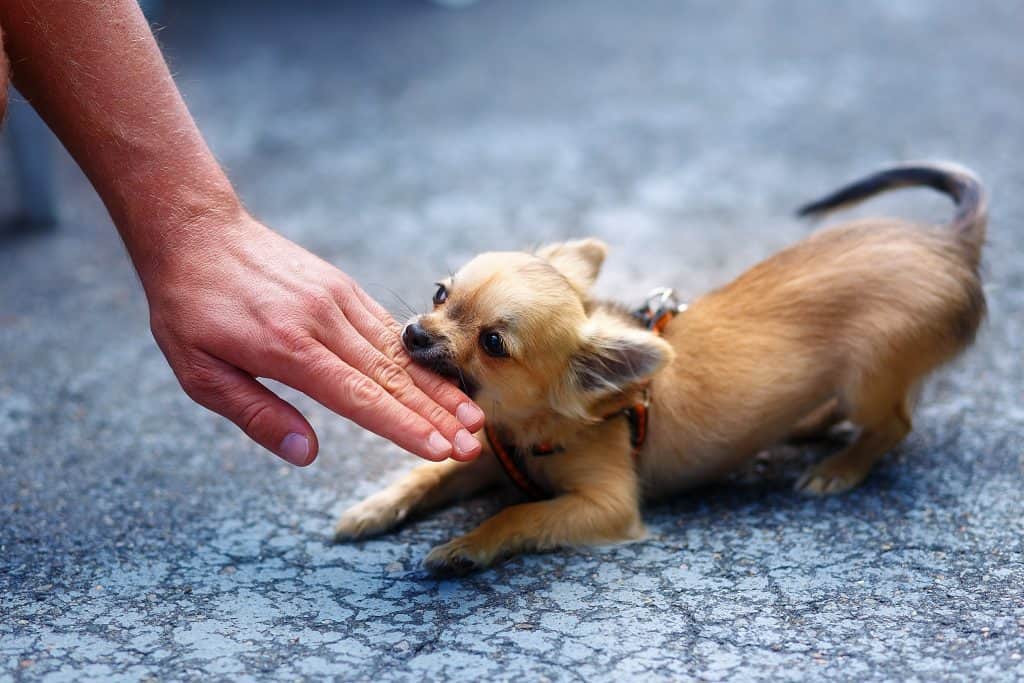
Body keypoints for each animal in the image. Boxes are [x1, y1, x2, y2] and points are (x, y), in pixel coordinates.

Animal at [333, 162, 983, 573]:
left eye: (492, 343)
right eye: (440, 294)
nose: (415, 332)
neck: (529, 429)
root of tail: (951, 244)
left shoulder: (605, 506)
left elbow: (518, 513)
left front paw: (466, 545)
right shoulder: (491, 459)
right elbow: (428, 476)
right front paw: (372, 509)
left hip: (869, 376)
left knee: (893, 424)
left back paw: (840, 466)